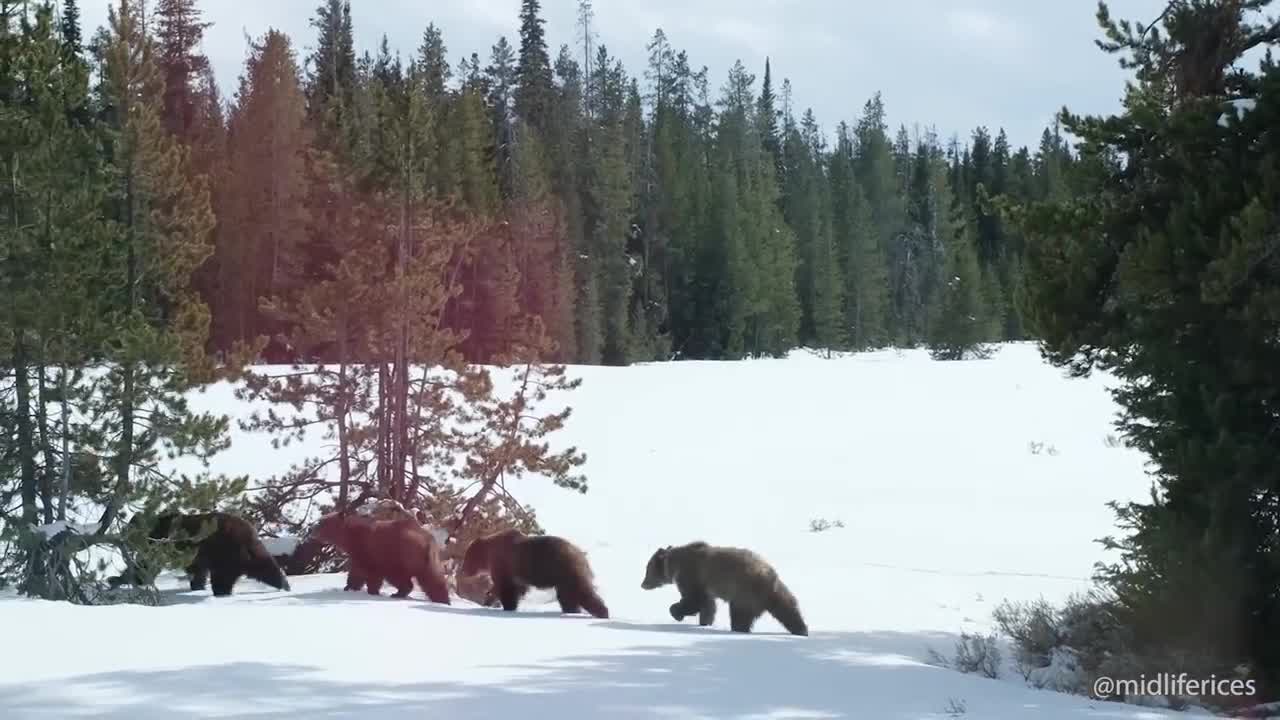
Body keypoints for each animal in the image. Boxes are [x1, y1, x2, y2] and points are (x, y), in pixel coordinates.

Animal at [112, 509, 293, 594]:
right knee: (264, 565)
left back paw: (221, 592)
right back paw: (284, 584)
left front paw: (115, 579)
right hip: (245, 552)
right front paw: (197, 585)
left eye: (129, 528)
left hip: (225, 552)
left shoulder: (163, 543)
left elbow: (146, 565)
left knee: (222, 577)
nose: (124, 541)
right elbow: (196, 570)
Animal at [308, 507, 450, 602]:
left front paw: (366, 590)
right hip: (424, 560)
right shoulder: (359, 553)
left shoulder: (367, 550)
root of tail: (428, 539)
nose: (311, 529)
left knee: (408, 579)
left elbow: (367, 572)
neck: (349, 536)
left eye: (321, 522)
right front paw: (350, 587)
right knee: (432, 579)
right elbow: (358, 571)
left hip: (400, 556)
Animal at [460, 527, 609, 617]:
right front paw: (490, 598)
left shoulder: (504, 564)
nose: (463, 571)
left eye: (467, 557)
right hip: (564, 578)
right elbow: (515, 588)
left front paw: (506, 606)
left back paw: (601, 612)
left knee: (581, 593)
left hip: (565, 571)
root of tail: (581, 554)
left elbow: (506, 589)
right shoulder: (515, 574)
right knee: (570, 597)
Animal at [640, 538, 808, 632]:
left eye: (647, 569)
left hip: (744, 592)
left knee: (740, 615)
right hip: (778, 593)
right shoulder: (705, 585)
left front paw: (676, 612)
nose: (642, 584)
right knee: (789, 611)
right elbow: (708, 605)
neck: (675, 565)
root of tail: (770, 580)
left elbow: (694, 599)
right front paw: (705, 623)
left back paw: (739, 629)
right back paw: (802, 630)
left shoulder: (691, 575)